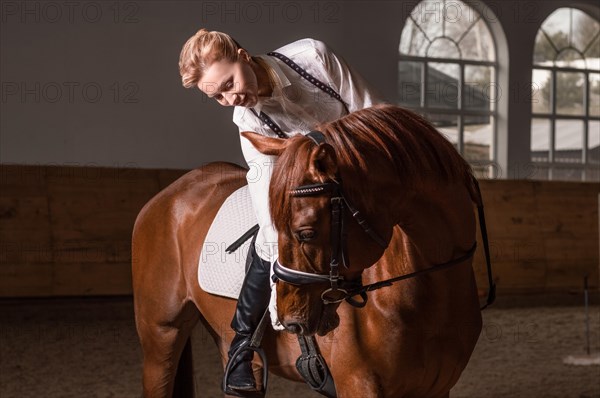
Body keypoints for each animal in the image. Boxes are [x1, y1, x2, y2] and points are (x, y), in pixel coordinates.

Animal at [134, 104, 486, 396]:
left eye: (306, 233)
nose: (288, 320)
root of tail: (171, 193)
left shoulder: (436, 388)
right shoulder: (359, 385)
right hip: (161, 337)